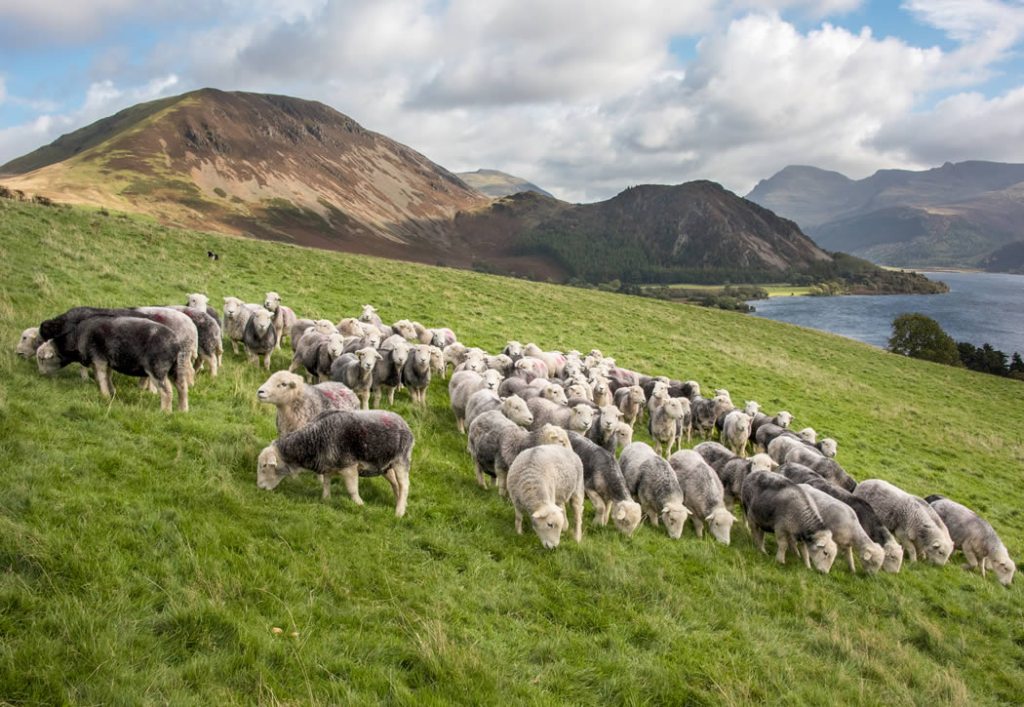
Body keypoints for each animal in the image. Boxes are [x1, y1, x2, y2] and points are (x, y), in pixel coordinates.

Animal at [38, 316, 188, 412]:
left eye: (42, 359)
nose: (40, 374)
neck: (77, 339)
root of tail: (176, 345)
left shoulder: (99, 358)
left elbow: (101, 377)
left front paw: (105, 395)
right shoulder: (106, 360)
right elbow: (107, 376)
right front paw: (111, 392)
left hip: (157, 367)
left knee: (167, 391)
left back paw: (165, 412)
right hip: (176, 368)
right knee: (182, 387)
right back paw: (182, 410)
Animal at [256, 409, 413, 516]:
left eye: (264, 466)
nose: (259, 487)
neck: (315, 439)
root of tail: (405, 424)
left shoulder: (349, 466)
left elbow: (352, 489)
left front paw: (360, 505)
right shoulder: (328, 465)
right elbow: (326, 483)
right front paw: (326, 499)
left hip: (401, 461)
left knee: (404, 485)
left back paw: (399, 512)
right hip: (386, 466)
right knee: (395, 484)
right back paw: (402, 503)